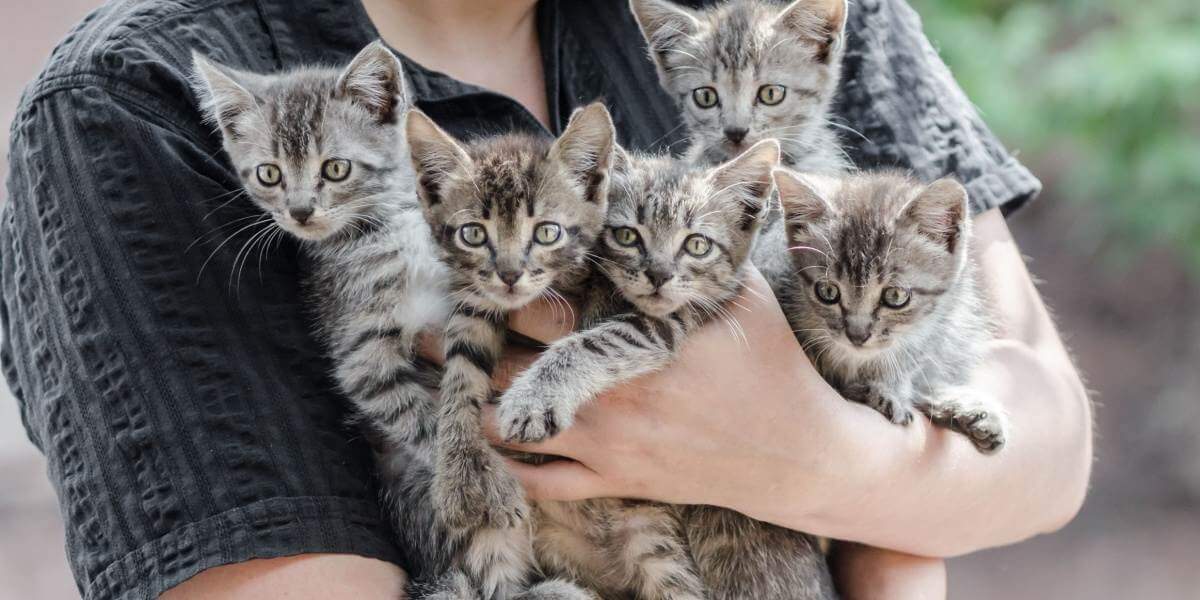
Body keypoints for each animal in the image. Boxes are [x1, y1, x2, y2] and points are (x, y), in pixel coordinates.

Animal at [405, 105, 619, 597]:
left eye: (547, 232)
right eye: (472, 234)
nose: (509, 274)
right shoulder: (475, 300)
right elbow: (461, 372)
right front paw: (458, 471)